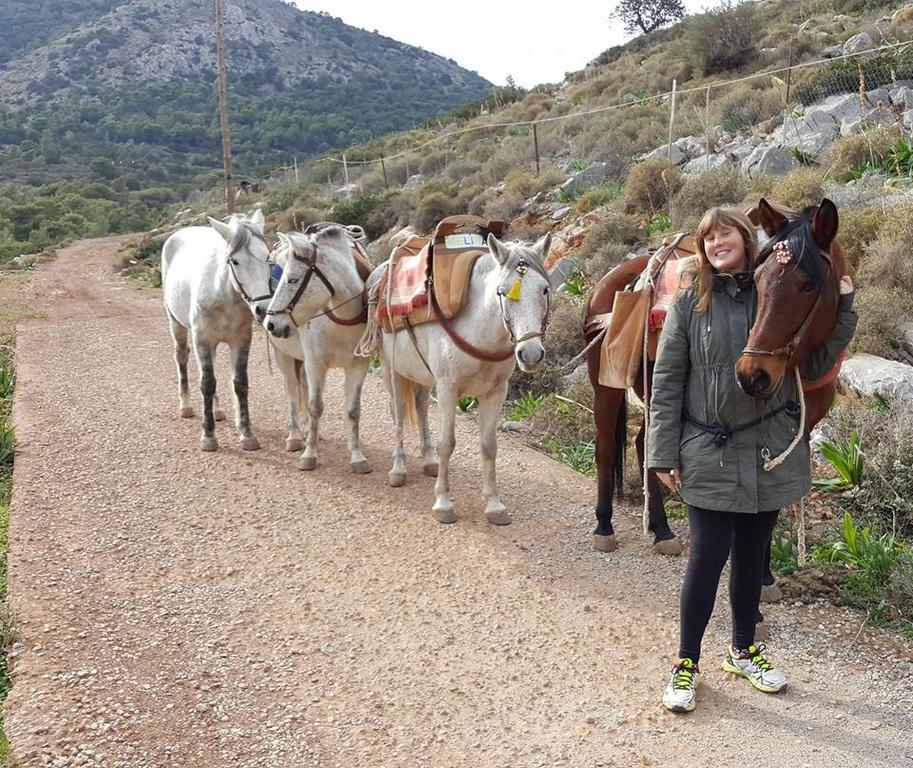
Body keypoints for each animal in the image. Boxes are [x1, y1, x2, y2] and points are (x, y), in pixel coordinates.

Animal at [161, 209, 273, 452]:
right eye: (235, 261)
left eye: (268, 257)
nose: (263, 308)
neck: (224, 294)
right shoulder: (202, 339)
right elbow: (207, 383)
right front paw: (208, 436)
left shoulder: (242, 340)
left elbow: (240, 383)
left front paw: (247, 433)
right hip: (177, 325)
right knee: (182, 358)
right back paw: (185, 406)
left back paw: (217, 410)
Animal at [257, 225, 373, 473]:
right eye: (283, 278)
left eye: (292, 280)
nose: (271, 324)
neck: (341, 320)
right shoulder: (316, 365)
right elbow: (315, 407)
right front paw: (309, 455)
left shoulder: (358, 366)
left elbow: (353, 411)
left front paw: (357, 456)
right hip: (284, 356)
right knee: (293, 392)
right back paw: (294, 437)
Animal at [360, 232, 553, 525]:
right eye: (502, 291)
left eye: (544, 289)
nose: (530, 354)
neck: (477, 328)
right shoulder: (448, 390)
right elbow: (447, 443)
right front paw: (443, 502)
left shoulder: (495, 393)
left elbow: (489, 446)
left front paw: (494, 505)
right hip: (391, 370)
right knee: (398, 414)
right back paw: (398, 469)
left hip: (421, 376)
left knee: (420, 406)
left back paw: (428, 461)